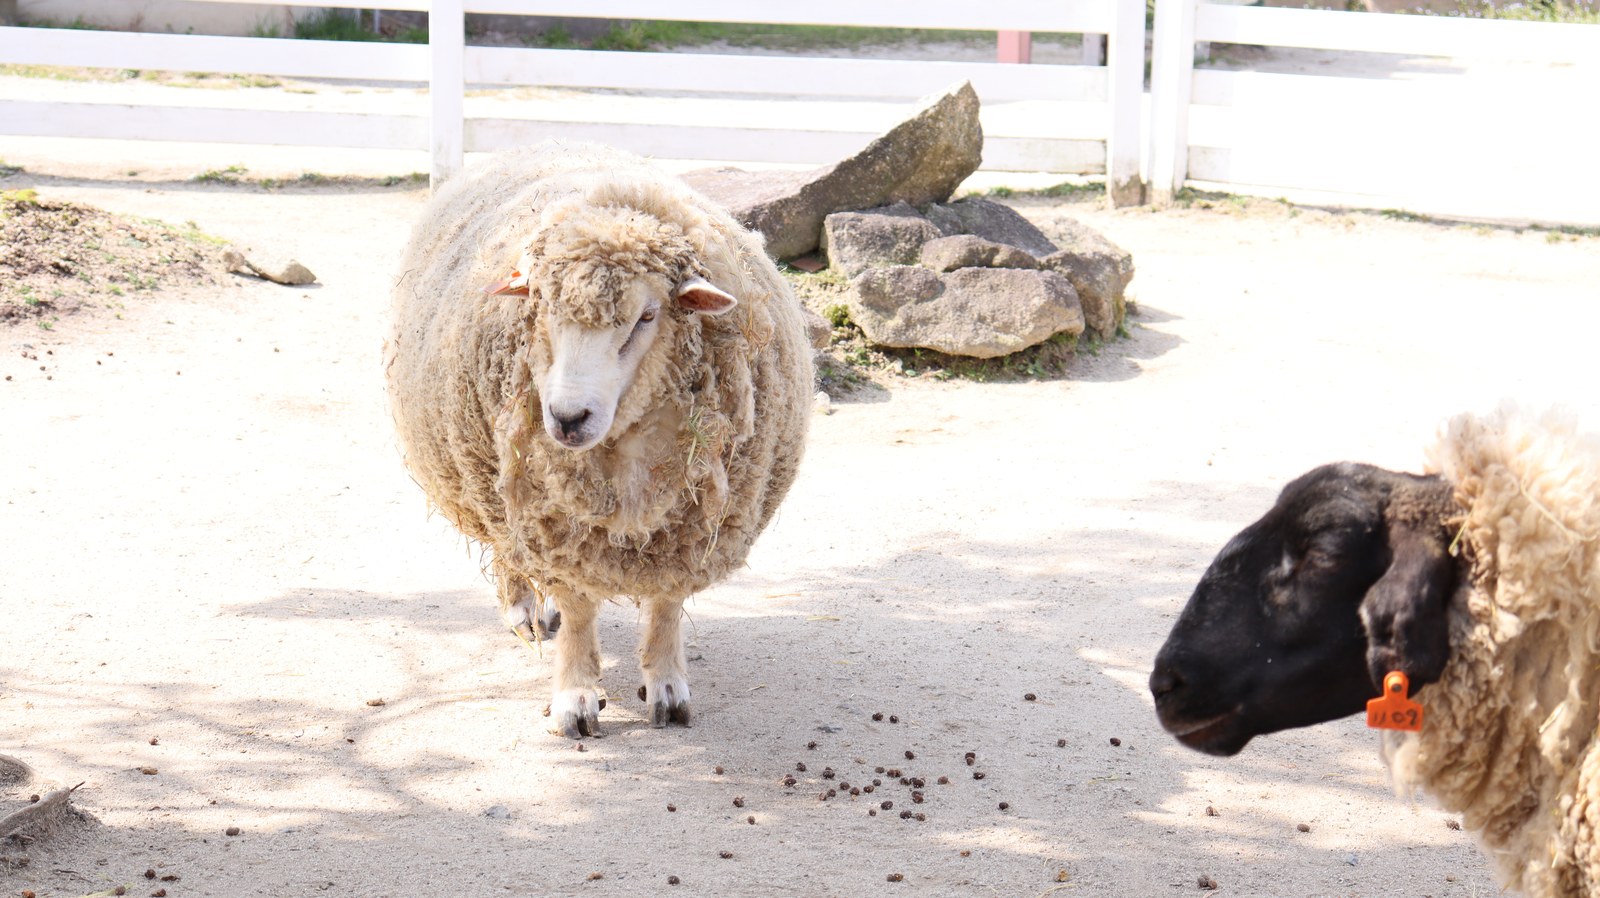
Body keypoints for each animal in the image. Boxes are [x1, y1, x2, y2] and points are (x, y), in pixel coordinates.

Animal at [385, 141, 813, 738]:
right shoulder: (555, 523)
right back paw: (523, 610)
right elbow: (579, 607)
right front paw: (576, 697)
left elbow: (666, 604)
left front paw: (667, 686)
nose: (567, 418)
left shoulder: (687, 529)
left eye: (647, 316)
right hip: (491, 482)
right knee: (506, 551)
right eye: (539, 305)